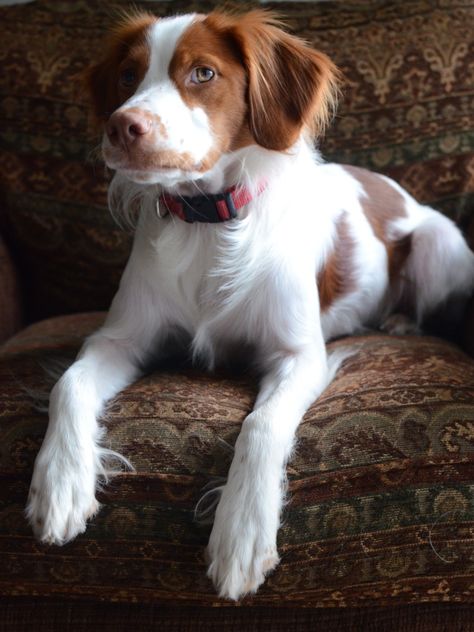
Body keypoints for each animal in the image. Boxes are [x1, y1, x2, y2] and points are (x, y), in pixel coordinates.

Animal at [25, 11, 474, 604]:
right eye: (126, 76)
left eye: (203, 73)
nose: (121, 127)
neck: (207, 220)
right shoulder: (120, 337)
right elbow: (69, 383)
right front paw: (59, 485)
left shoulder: (298, 355)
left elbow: (261, 424)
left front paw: (240, 533)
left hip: (437, 243)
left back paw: (399, 321)